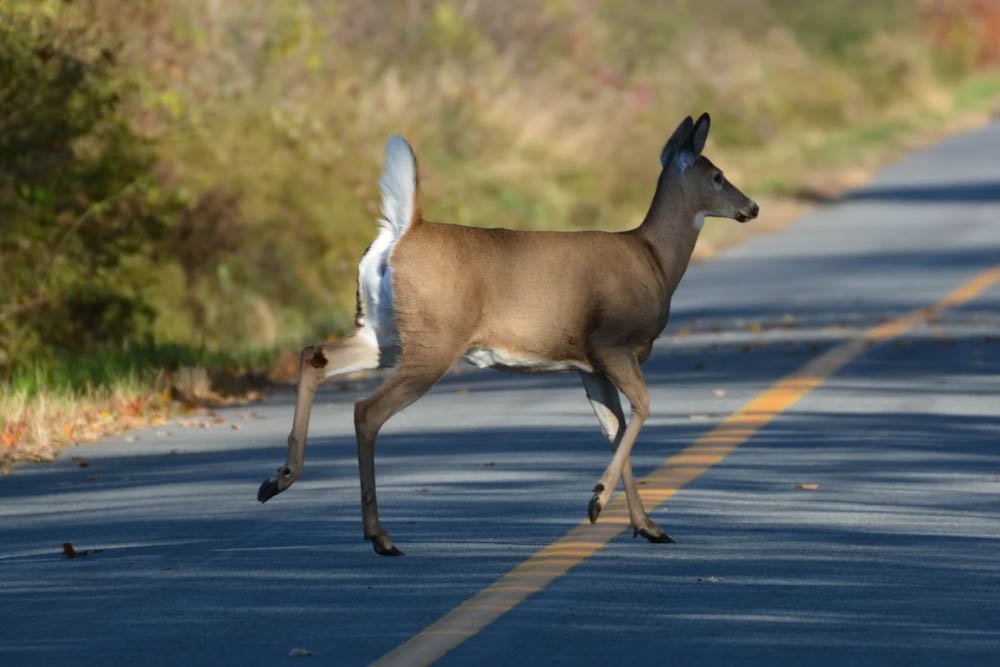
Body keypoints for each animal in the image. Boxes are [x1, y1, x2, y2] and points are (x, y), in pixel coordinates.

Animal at [258, 112, 756, 556]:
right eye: (717, 176)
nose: (750, 206)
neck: (655, 259)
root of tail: (403, 231)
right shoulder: (611, 342)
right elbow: (643, 409)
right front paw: (598, 501)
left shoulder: (589, 365)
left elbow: (614, 428)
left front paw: (646, 526)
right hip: (434, 341)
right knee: (366, 410)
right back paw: (379, 536)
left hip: (383, 334)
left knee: (315, 355)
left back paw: (278, 479)